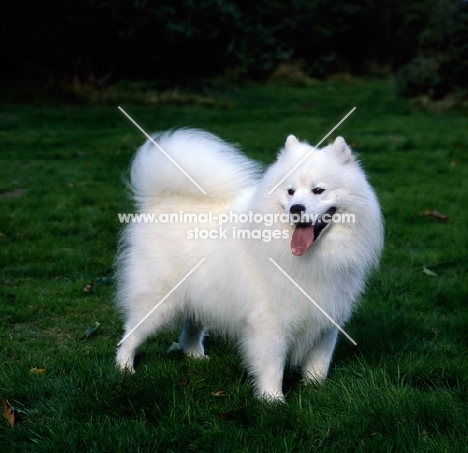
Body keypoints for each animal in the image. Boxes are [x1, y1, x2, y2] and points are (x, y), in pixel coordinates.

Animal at [115, 127, 382, 400]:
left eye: (318, 190)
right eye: (290, 192)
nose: (296, 208)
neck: (312, 256)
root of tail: (161, 200)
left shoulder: (326, 317)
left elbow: (319, 363)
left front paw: (316, 390)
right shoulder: (269, 322)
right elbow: (272, 366)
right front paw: (273, 400)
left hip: (200, 293)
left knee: (191, 327)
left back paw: (196, 358)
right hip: (158, 300)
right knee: (131, 334)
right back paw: (124, 368)